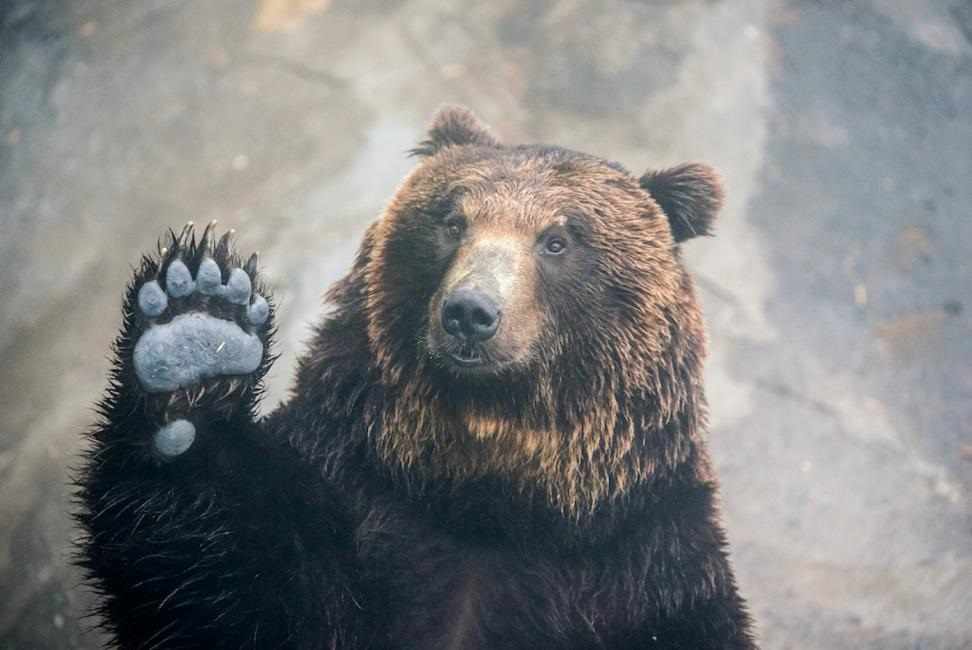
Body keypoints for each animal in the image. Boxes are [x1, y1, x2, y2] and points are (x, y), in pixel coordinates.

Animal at [78, 104, 760, 644]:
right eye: (453, 222)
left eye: (558, 240)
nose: (470, 312)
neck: (486, 492)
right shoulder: (347, 488)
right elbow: (221, 581)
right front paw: (194, 335)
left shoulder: (645, 563)